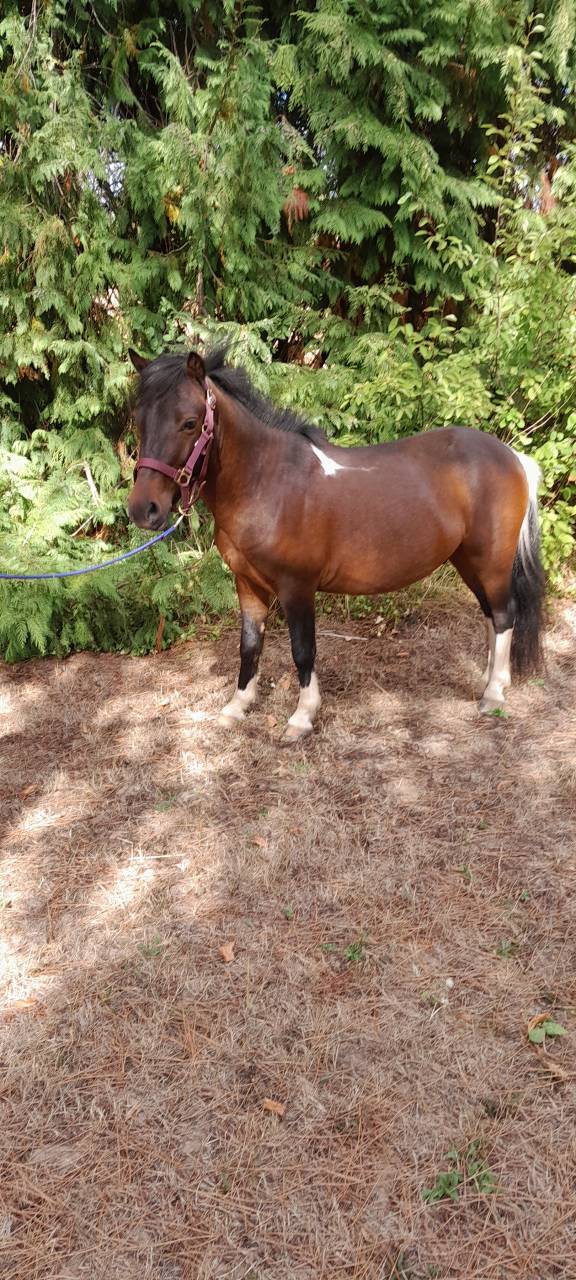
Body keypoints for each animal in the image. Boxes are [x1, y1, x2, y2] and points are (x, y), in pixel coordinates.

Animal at [127, 346, 545, 742]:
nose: (144, 510)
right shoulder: (247, 584)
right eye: (138, 419)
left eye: (189, 422)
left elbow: (302, 650)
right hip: (468, 561)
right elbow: (249, 646)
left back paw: (493, 695)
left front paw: (301, 717)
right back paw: (490, 681)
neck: (268, 481)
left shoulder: (297, 587)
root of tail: (512, 457)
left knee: (504, 615)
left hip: (491, 561)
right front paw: (237, 707)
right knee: (491, 615)